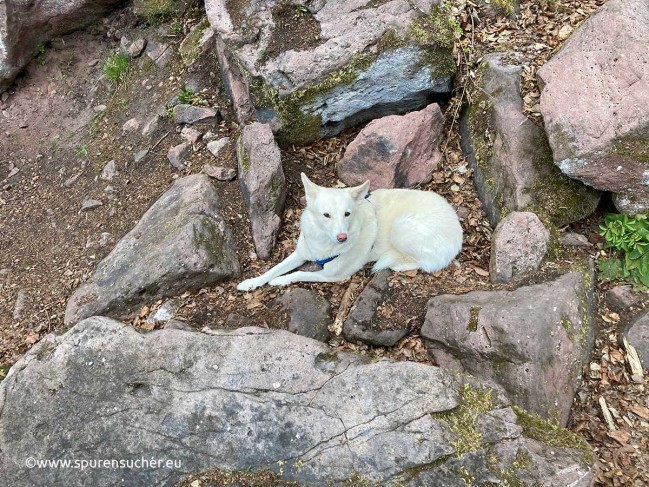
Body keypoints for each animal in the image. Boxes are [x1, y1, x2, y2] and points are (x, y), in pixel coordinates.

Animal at [237, 173, 460, 292]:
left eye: (347, 213)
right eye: (326, 215)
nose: (342, 237)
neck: (324, 243)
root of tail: (459, 230)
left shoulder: (333, 276)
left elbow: (299, 273)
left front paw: (280, 281)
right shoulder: (301, 253)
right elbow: (273, 268)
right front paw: (251, 283)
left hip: (402, 227)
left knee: (423, 263)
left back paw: (396, 263)